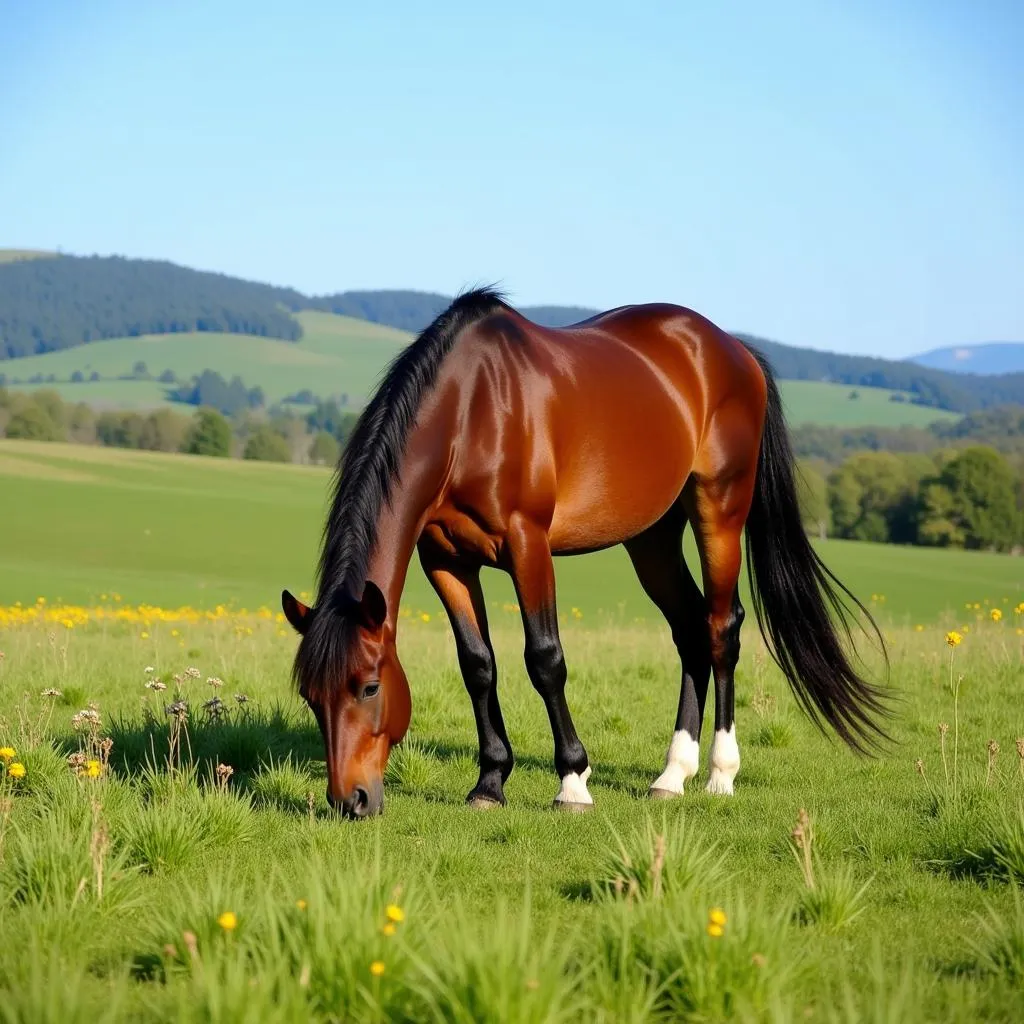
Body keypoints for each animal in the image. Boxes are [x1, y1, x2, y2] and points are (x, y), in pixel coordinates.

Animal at [280, 286, 888, 815]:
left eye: (369, 686)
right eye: (310, 696)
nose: (350, 801)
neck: (470, 412)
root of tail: (734, 350)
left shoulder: (527, 544)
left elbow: (545, 659)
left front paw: (572, 780)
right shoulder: (445, 560)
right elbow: (478, 664)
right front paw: (490, 782)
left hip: (719, 507)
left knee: (721, 627)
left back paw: (720, 772)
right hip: (651, 538)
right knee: (689, 630)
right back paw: (672, 775)